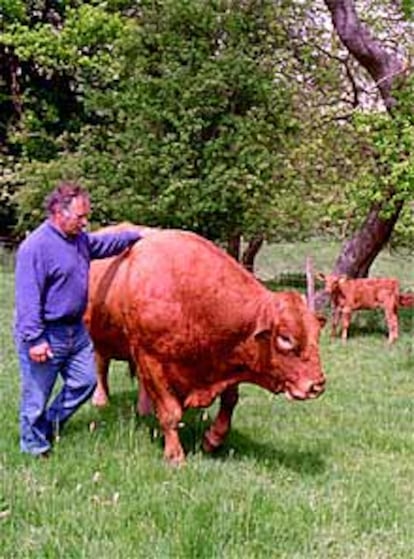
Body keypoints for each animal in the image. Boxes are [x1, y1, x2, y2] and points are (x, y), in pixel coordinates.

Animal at [85, 226, 326, 464]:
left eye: (317, 333)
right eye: (285, 338)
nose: (317, 385)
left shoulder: (229, 360)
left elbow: (230, 401)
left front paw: (213, 439)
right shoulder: (151, 359)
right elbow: (170, 412)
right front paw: (175, 455)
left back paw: (144, 409)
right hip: (99, 340)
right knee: (100, 365)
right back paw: (101, 400)